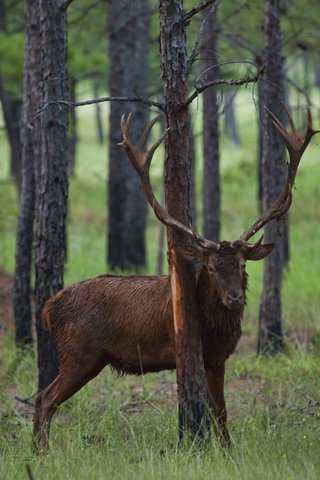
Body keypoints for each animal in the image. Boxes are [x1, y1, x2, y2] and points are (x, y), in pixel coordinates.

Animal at [32, 104, 318, 450]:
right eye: (210, 267)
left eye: (242, 265)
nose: (234, 297)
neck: (217, 329)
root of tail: (48, 308)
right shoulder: (203, 355)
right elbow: (217, 410)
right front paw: (224, 450)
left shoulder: (217, 358)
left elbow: (221, 412)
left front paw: (227, 449)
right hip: (79, 352)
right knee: (46, 398)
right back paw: (42, 452)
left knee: (40, 397)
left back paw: (35, 450)